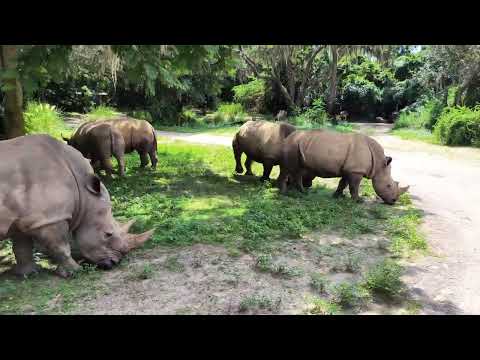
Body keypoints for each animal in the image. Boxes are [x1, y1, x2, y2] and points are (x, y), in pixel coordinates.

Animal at [0, 135, 153, 278]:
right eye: (107, 234)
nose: (114, 263)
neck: (83, 194)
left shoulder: (24, 219)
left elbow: (22, 246)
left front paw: (27, 274)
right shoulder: (50, 218)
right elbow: (61, 246)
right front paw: (74, 272)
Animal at [278, 129, 408, 204]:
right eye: (388, 185)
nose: (393, 201)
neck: (378, 163)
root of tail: (286, 138)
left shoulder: (349, 170)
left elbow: (343, 183)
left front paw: (337, 196)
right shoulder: (356, 171)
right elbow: (354, 187)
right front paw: (358, 201)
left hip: (297, 145)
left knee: (298, 170)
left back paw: (302, 192)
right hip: (292, 145)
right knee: (288, 168)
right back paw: (284, 193)